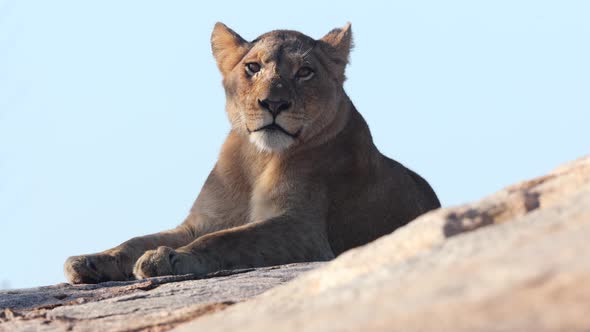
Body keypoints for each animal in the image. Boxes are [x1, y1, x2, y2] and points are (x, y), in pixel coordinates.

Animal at [67, 22, 442, 282]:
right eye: (253, 67)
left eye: (305, 72)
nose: (273, 104)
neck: (258, 159)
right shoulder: (200, 221)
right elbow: (136, 239)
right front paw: (90, 260)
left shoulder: (305, 231)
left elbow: (227, 240)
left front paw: (169, 259)